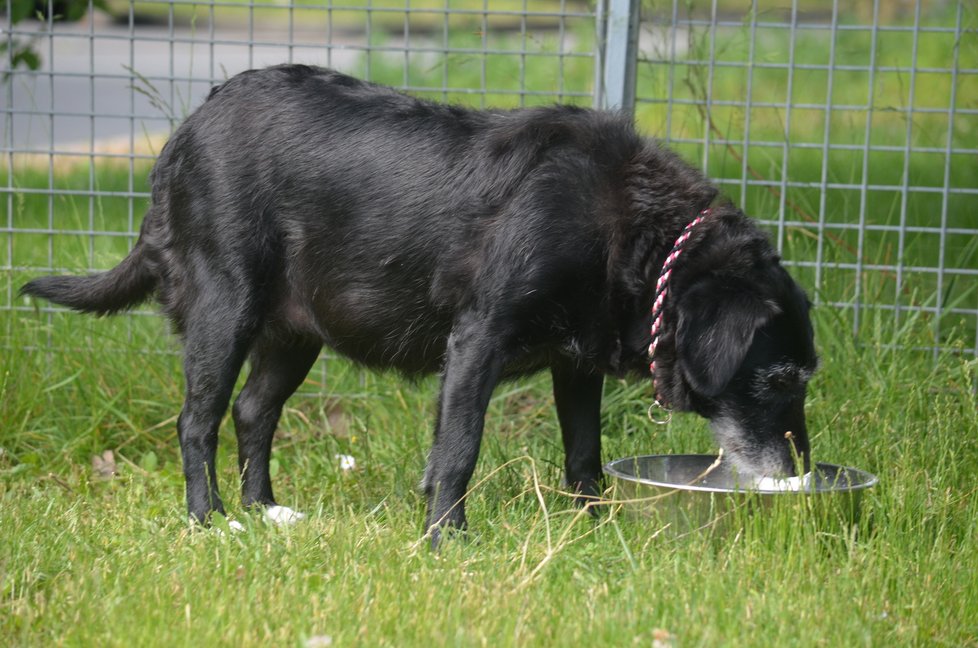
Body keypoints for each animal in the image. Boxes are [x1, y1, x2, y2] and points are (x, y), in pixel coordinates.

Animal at [22, 64, 816, 540]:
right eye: (780, 379)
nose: (802, 472)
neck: (636, 232)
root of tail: (185, 131)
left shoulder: (575, 365)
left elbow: (584, 452)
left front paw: (592, 528)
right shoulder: (477, 341)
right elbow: (458, 449)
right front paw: (445, 539)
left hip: (296, 332)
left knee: (251, 411)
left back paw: (267, 508)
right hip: (226, 307)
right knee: (197, 420)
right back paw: (212, 519)